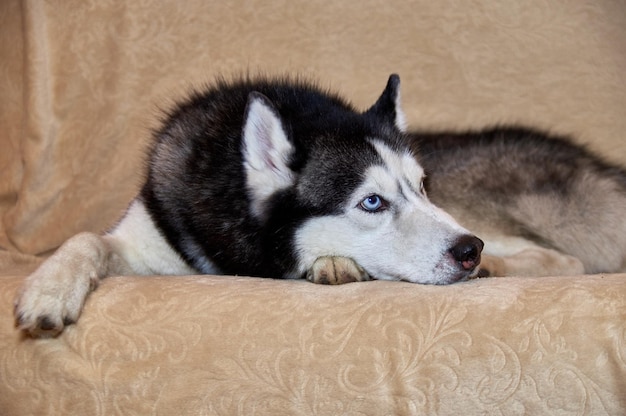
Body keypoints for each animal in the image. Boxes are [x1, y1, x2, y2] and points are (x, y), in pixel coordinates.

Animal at [13, 73, 624, 336]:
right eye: (371, 202)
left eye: (422, 187)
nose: (467, 250)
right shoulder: (147, 238)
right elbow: (86, 238)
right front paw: (49, 289)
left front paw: (333, 263)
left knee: (561, 260)